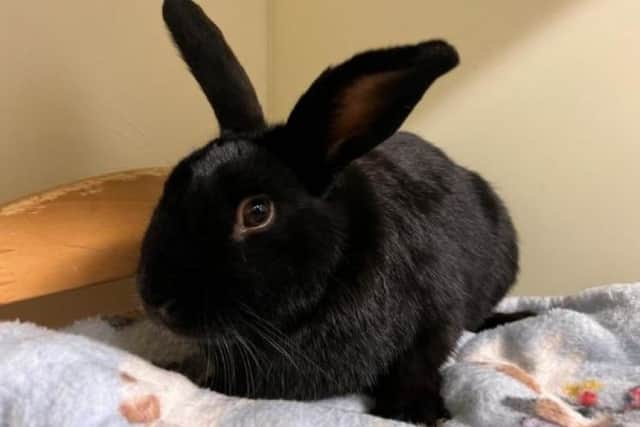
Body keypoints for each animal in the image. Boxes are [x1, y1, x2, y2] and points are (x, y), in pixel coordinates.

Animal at [137, 0, 519, 423]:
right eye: (170, 186)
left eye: (257, 212)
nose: (157, 300)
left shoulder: (438, 311)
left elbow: (422, 358)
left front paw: (412, 410)